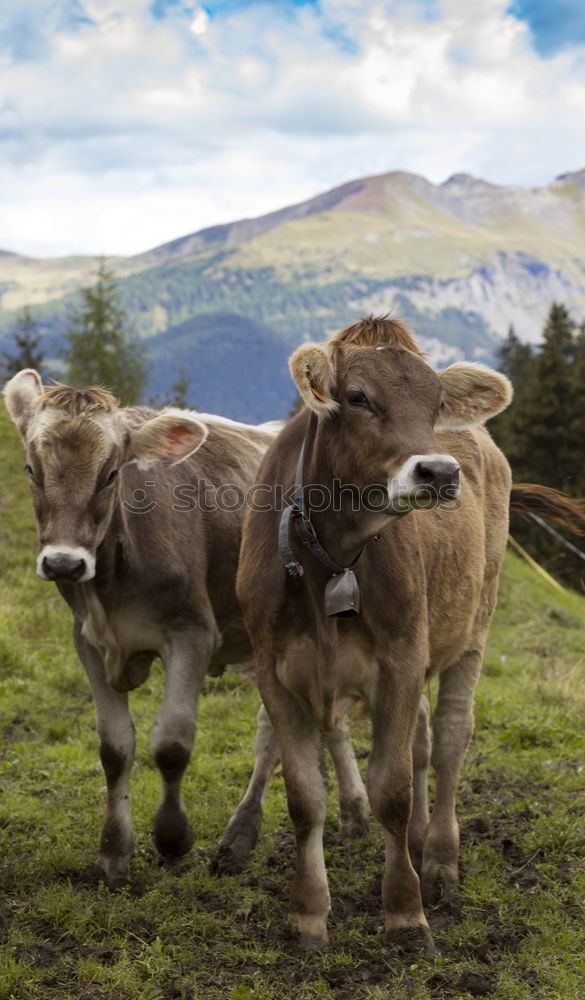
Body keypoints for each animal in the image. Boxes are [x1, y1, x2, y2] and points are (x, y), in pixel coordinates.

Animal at [220, 318, 572, 952]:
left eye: (436, 403)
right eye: (358, 397)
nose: (440, 472)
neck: (331, 559)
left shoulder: (402, 661)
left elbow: (392, 790)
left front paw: (406, 914)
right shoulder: (274, 669)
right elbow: (304, 797)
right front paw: (308, 914)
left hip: (473, 629)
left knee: (451, 737)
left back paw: (439, 859)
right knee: (423, 741)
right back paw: (416, 842)